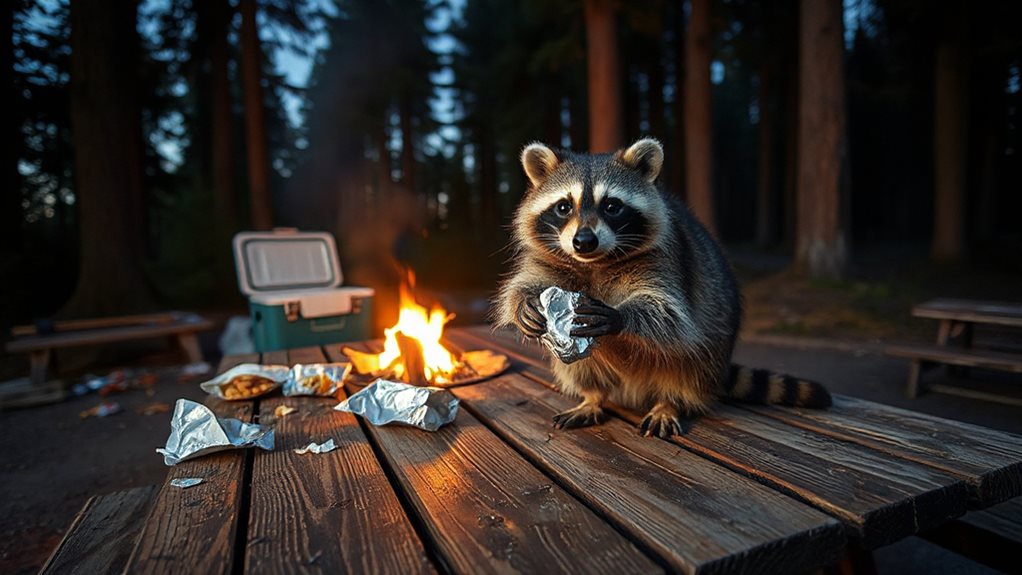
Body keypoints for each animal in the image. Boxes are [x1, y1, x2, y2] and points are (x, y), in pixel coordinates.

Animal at [494, 138, 831, 438]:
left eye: (612, 206)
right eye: (564, 207)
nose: (584, 241)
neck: (595, 262)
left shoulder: (667, 260)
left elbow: (670, 314)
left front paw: (620, 316)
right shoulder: (549, 257)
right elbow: (524, 283)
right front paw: (524, 304)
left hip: (709, 350)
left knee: (684, 364)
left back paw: (668, 403)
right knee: (580, 369)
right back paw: (593, 396)